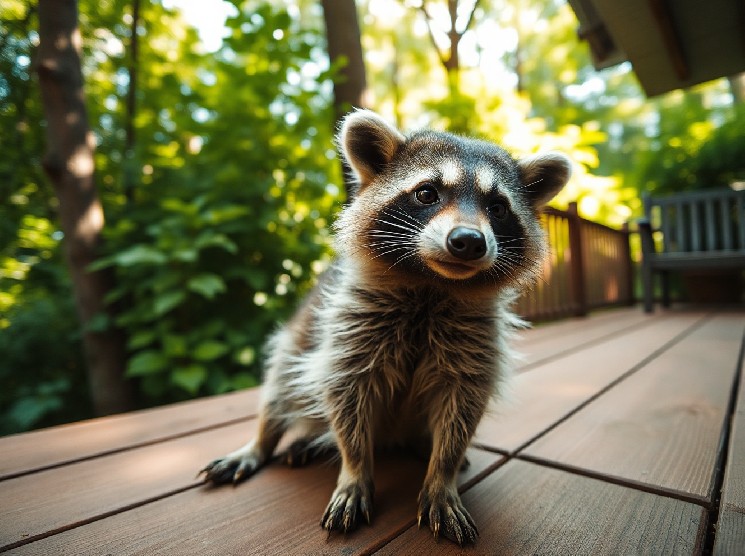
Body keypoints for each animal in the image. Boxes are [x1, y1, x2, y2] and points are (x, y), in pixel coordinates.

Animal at [200, 110, 571, 545]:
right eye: (426, 193)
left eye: (497, 208)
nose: (468, 241)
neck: (431, 285)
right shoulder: (349, 327)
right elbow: (347, 396)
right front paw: (355, 470)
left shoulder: (475, 340)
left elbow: (462, 404)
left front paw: (442, 474)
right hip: (298, 340)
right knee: (281, 385)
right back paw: (263, 441)